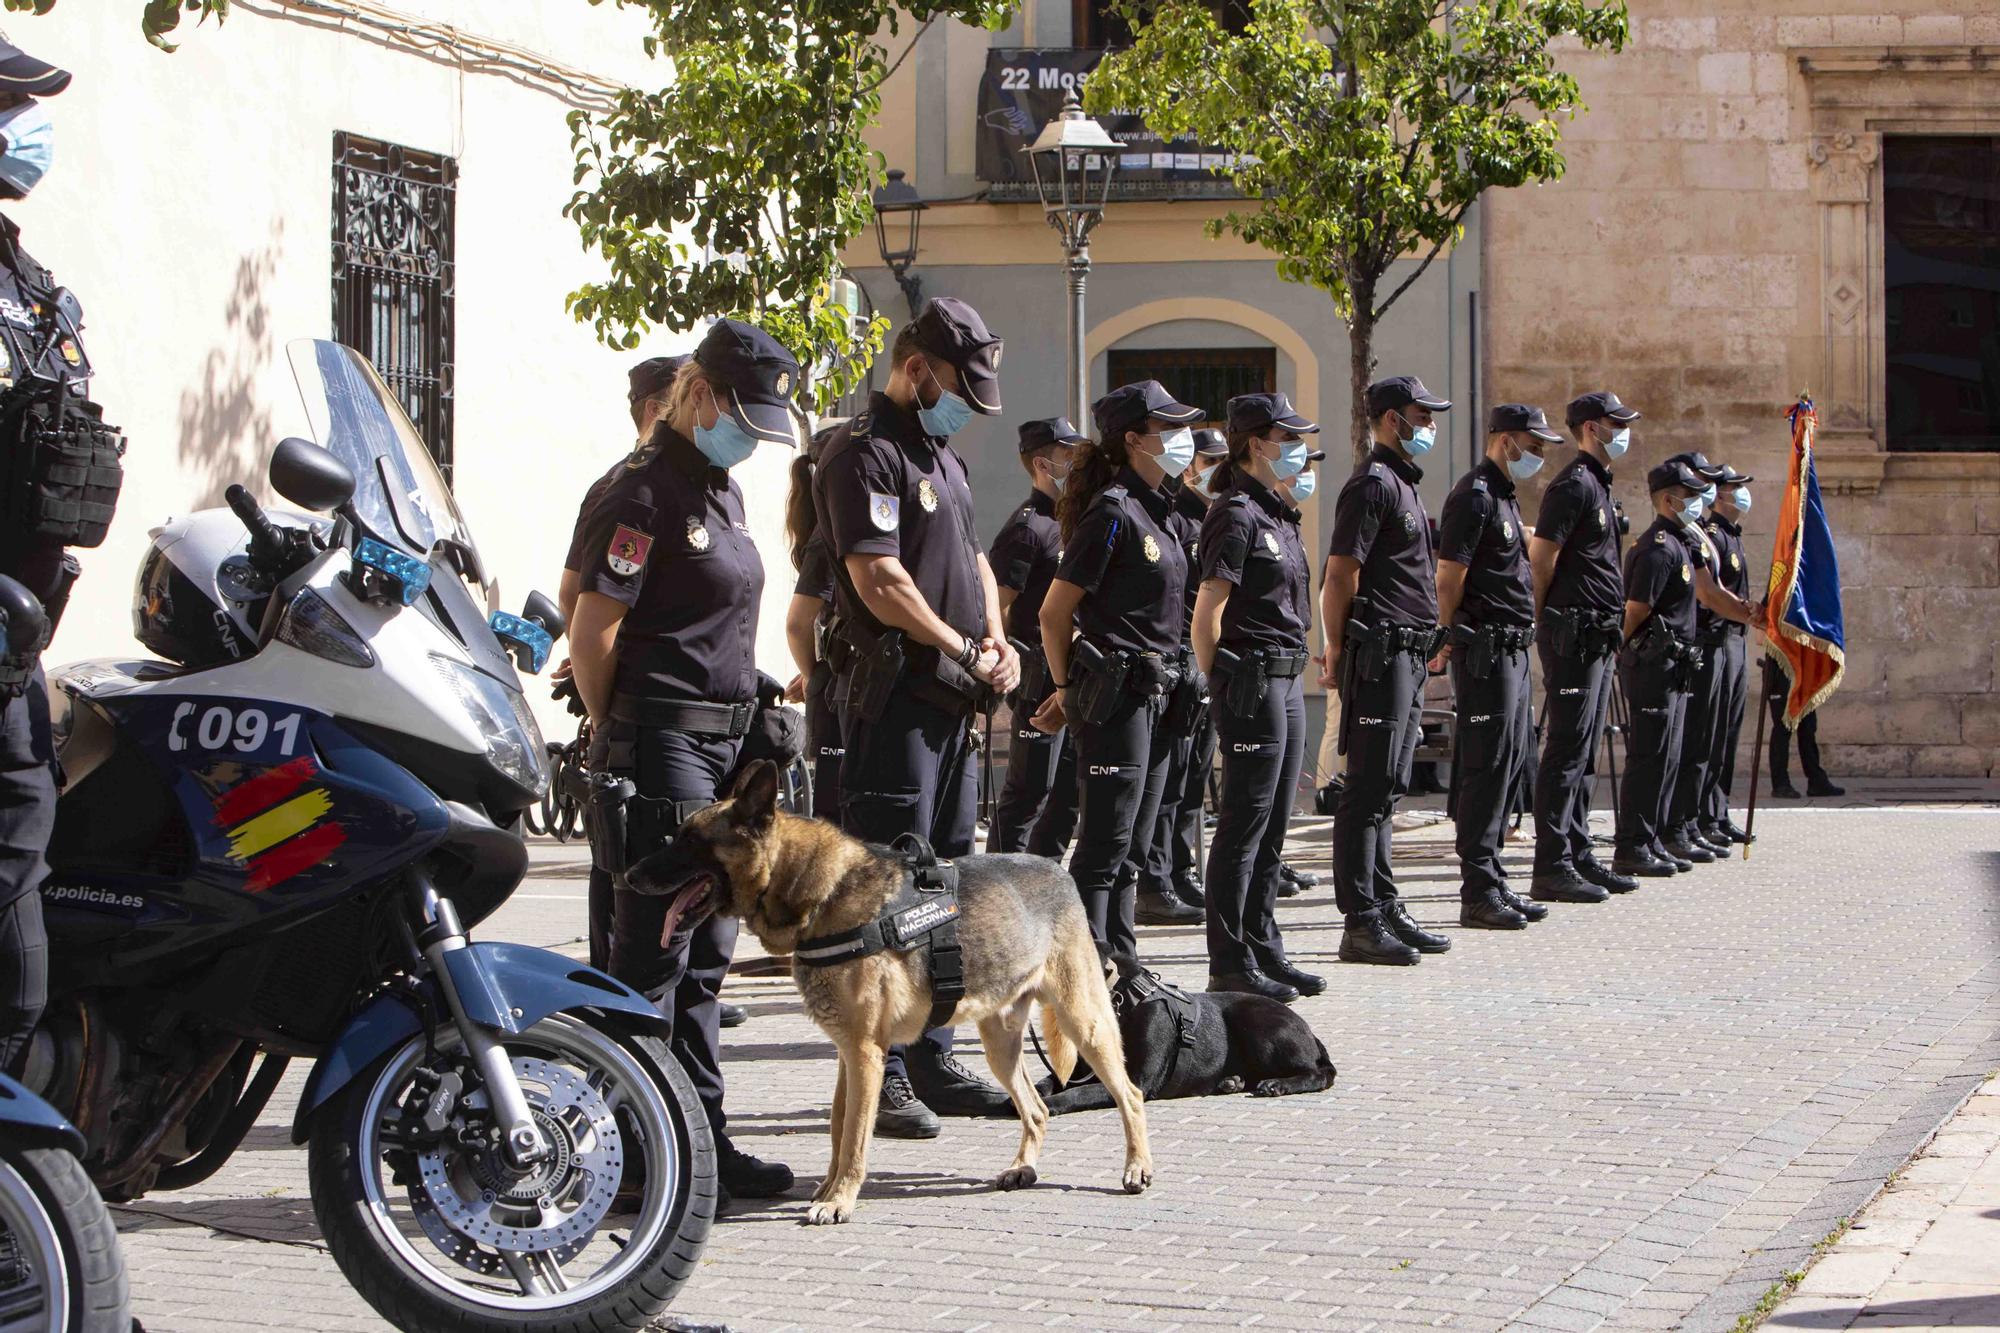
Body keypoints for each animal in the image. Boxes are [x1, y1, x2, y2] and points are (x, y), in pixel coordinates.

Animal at [624, 752, 1160, 1216]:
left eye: (688, 841)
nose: (627, 875)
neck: (821, 895)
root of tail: (1058, 871)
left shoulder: (864, 1052)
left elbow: (855, 1135)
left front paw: (839, 1199)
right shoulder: (850, 1052)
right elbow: (838, 1126)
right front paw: (827, 1189)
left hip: (1085, 1023)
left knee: (1130, 1095)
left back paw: (1137, 1168)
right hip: (1001, 1044)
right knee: (1037, 1107)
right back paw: (1023, 1167)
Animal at [1032, 944, 1344, 1112]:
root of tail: (1311, 1034)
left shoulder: (1135, 1081)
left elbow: (1077, 1093)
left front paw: (1049, 1105)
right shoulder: (1078, 1070)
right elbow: (1046, 1083)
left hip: (1259, 1024)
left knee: (1321, 1073)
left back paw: (1278, 1084)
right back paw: (1232, 1081)